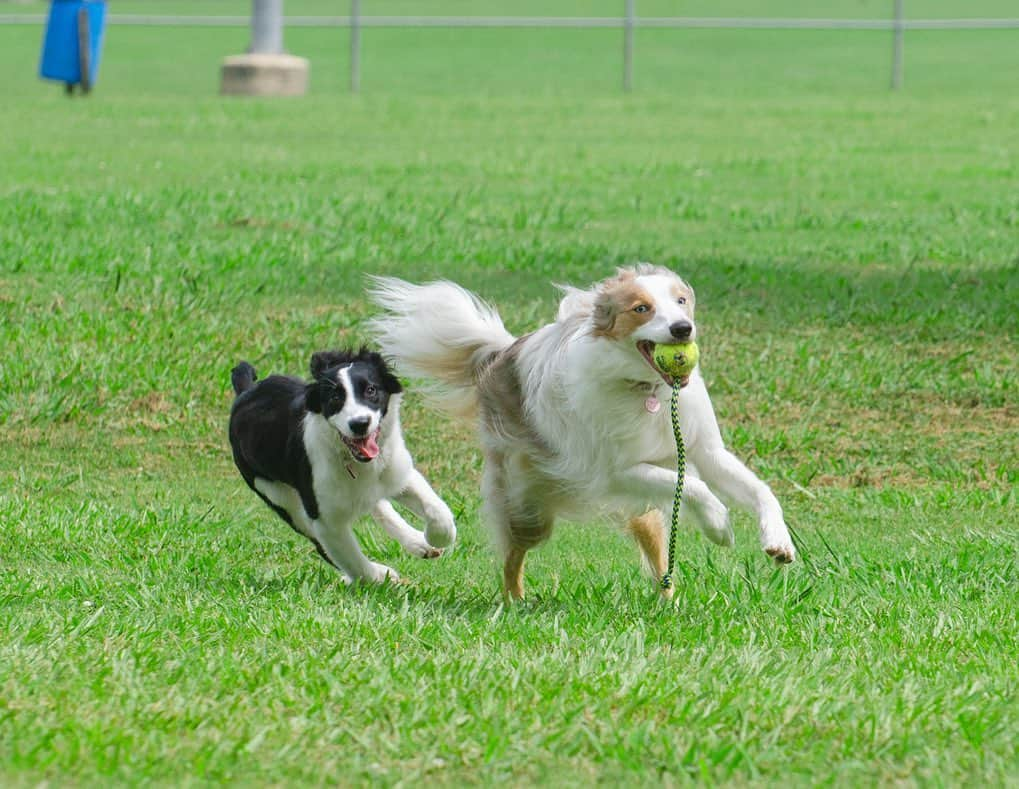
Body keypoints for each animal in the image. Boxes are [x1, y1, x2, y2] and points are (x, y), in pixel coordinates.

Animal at [231, 348, 458, 583]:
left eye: (371, 390)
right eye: (335, 397)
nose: (359, 424)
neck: (353, 461)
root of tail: (244, 391)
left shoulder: (397, 472)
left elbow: (437, 510)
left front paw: (435, 538)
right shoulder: (325, 520)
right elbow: (352, 560)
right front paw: (381, 576)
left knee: (378, 505)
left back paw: (419, 542)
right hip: (280, 498)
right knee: (321, 544)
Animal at [366, 265, 794, 599]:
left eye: (681, 301)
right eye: (641, 308)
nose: (682, 328)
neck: (647, 391)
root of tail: (502, 354)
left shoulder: (705, 451)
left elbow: (761, 491)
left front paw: (778, 542)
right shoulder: (613, 473)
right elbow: (694, 486)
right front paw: (720, 527)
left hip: (644, 513)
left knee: (658, 558)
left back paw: (667, 602)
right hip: (528, 506)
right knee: (512, 557)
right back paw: (514, 602)